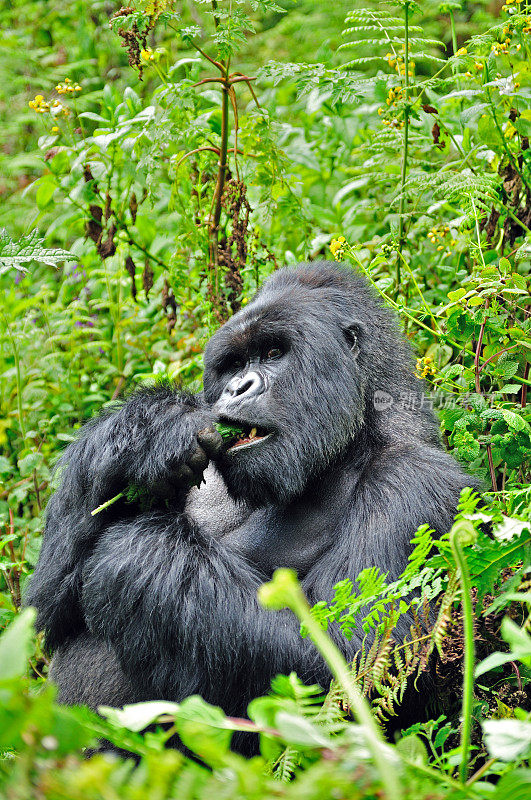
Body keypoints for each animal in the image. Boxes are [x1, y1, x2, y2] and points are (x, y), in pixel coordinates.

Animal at [27, 262, 472, 744]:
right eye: (234, 365)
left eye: (274, 352)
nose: (238, 388)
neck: (353, 439)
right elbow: (49, 609)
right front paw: (144, 431)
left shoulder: (415, 484)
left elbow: (347, 665)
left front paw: (136, 556)